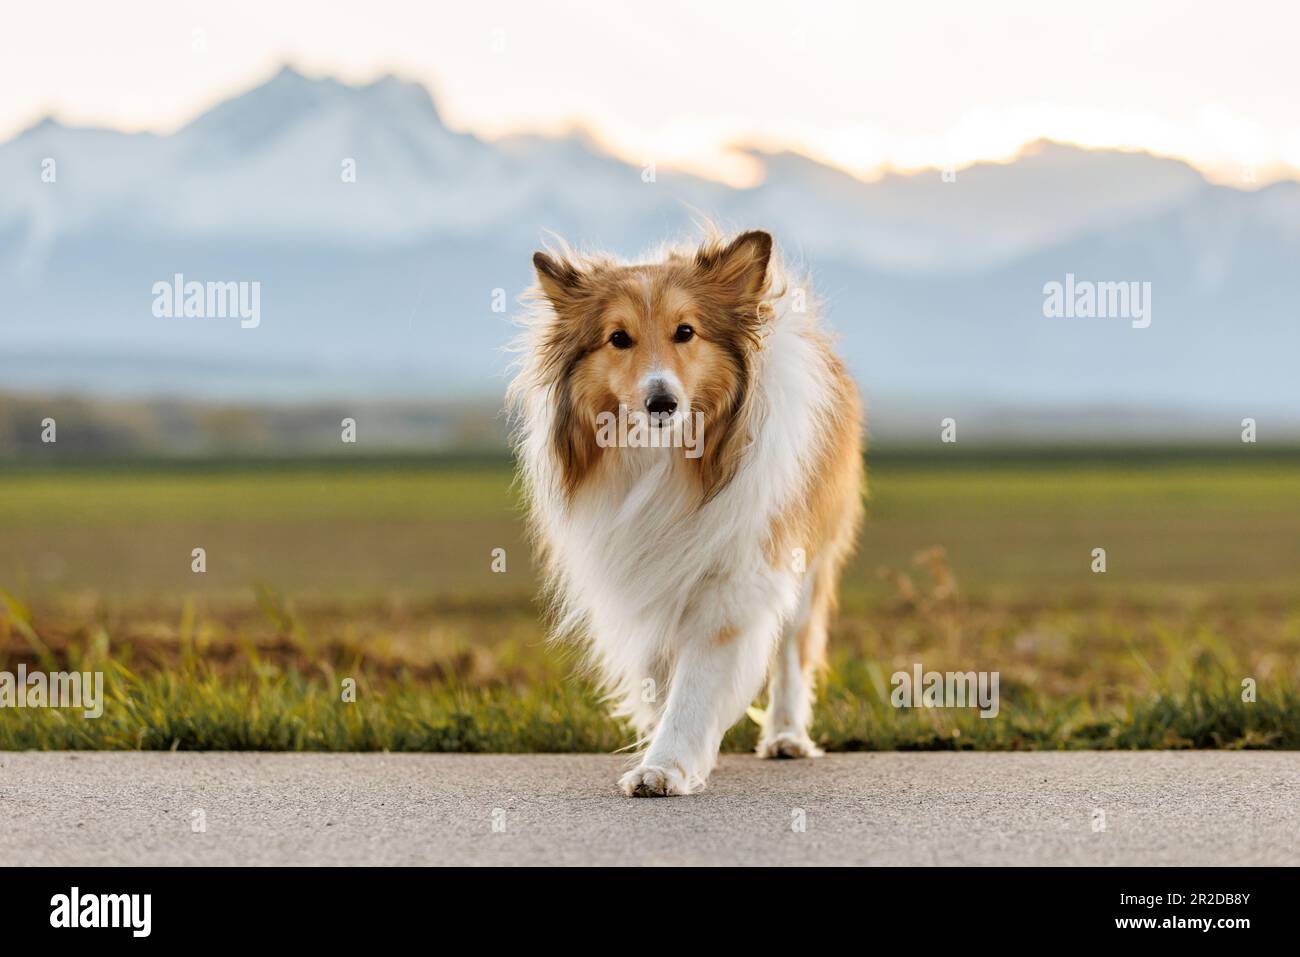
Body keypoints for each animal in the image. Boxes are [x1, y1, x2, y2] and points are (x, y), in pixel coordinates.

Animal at [506, 230, 863, 790]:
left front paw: (666, 765)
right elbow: (658, 676)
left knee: (792, 651)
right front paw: (665, 747)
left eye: (686, 331)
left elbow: (697, 684)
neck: (663, 460)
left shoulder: (734, 581)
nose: (662, 403)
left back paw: (786, 737)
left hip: (809, 559)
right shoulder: (643, 577)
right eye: (618, 338)